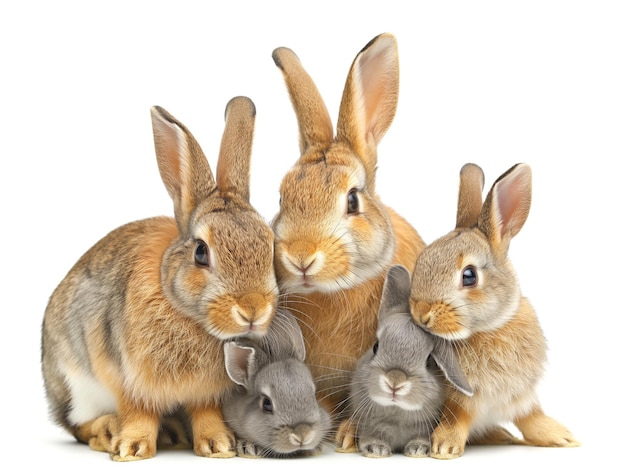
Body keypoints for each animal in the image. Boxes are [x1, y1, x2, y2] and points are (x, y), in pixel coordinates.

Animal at [40, 96, 280, 460]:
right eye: (201, 252)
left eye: (270, 244)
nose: (253, 309)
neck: (190, 317)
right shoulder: (129, 377)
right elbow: (138, 411)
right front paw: (131, 448)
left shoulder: (206, 392)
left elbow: (206, 413)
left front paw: (219, 445)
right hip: (74, 383)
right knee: (76, 424)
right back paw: (108, 431)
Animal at [342, 266, 468, 458]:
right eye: (376, 346)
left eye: (429, 360)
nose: (395, 381)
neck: (397, 413)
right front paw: (376, 450)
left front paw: (418, 449)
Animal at [408, 164, 576, 460]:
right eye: (422, 259)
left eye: (469, 276)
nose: (421, 313)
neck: (490, 329)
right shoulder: (458, 401)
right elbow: (455, 418)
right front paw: (445, 448)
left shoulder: (520, 396)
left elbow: (531, 417)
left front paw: (561, 437)